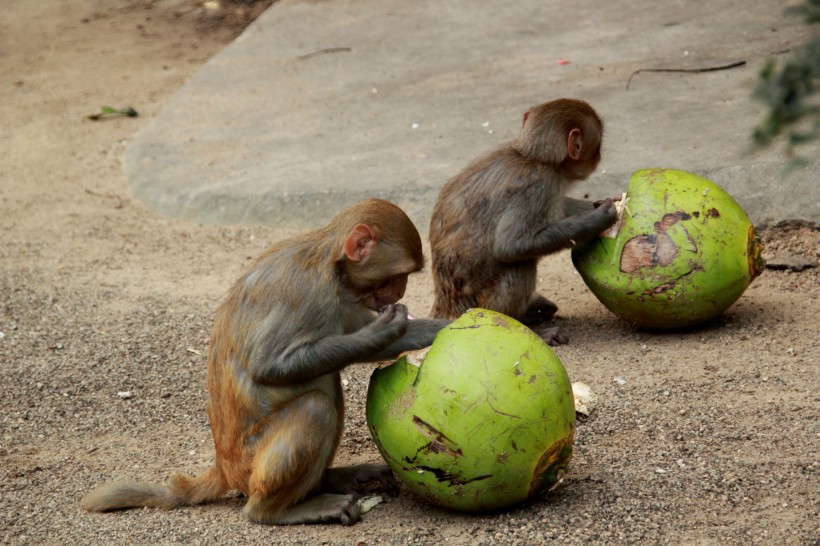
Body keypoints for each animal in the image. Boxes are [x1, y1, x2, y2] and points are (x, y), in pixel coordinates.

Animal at [81, 199, 448, 524]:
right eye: (396, 276)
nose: (399, 292)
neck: (331, 264)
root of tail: (224, 466)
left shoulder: (346, 301)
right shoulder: (309, 294)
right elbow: (267, 366)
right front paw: (381, 331)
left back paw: (330, 480)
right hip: (251, 464)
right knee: (314, 406)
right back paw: (275, 510)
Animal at [430, 96, 616, 344]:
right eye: (597, 146)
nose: (600, 156)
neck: (532, 157)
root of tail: (448, 310)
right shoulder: (537, 186)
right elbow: (510, 246)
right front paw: (599, 219)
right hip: (484, 305)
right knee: (520, 264)